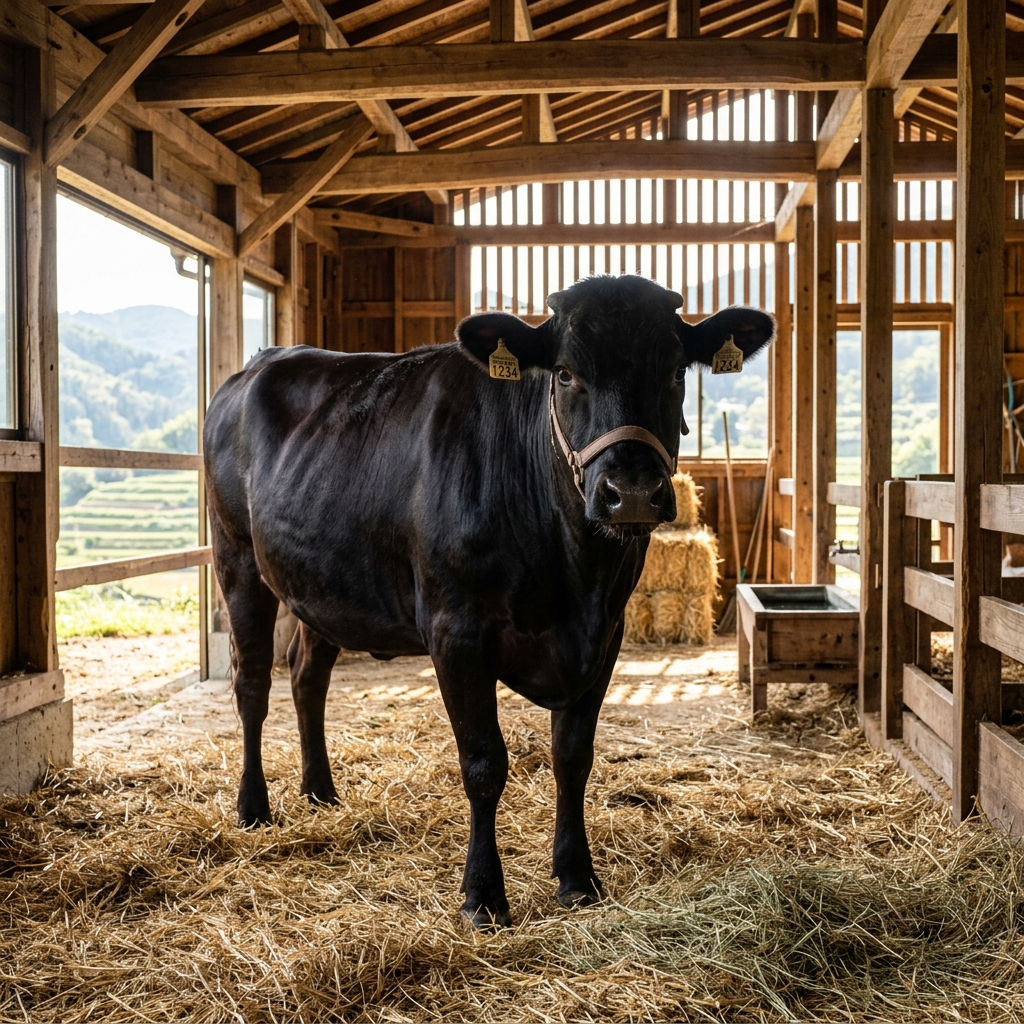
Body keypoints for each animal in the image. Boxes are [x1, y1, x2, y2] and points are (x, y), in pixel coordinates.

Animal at [204, 274, 774, 929]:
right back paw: (254, 807)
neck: (573, 576)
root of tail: (260, 362)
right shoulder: (457, 632)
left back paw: (320, 791)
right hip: (237, 558)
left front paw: (578, 878)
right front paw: (483, 896)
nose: (630, 492)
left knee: (306, 675)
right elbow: (483, 763)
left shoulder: (606, 634)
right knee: (252, 682)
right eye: (564, 373)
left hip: (320, 582)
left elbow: (573, 756)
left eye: (677, 370)